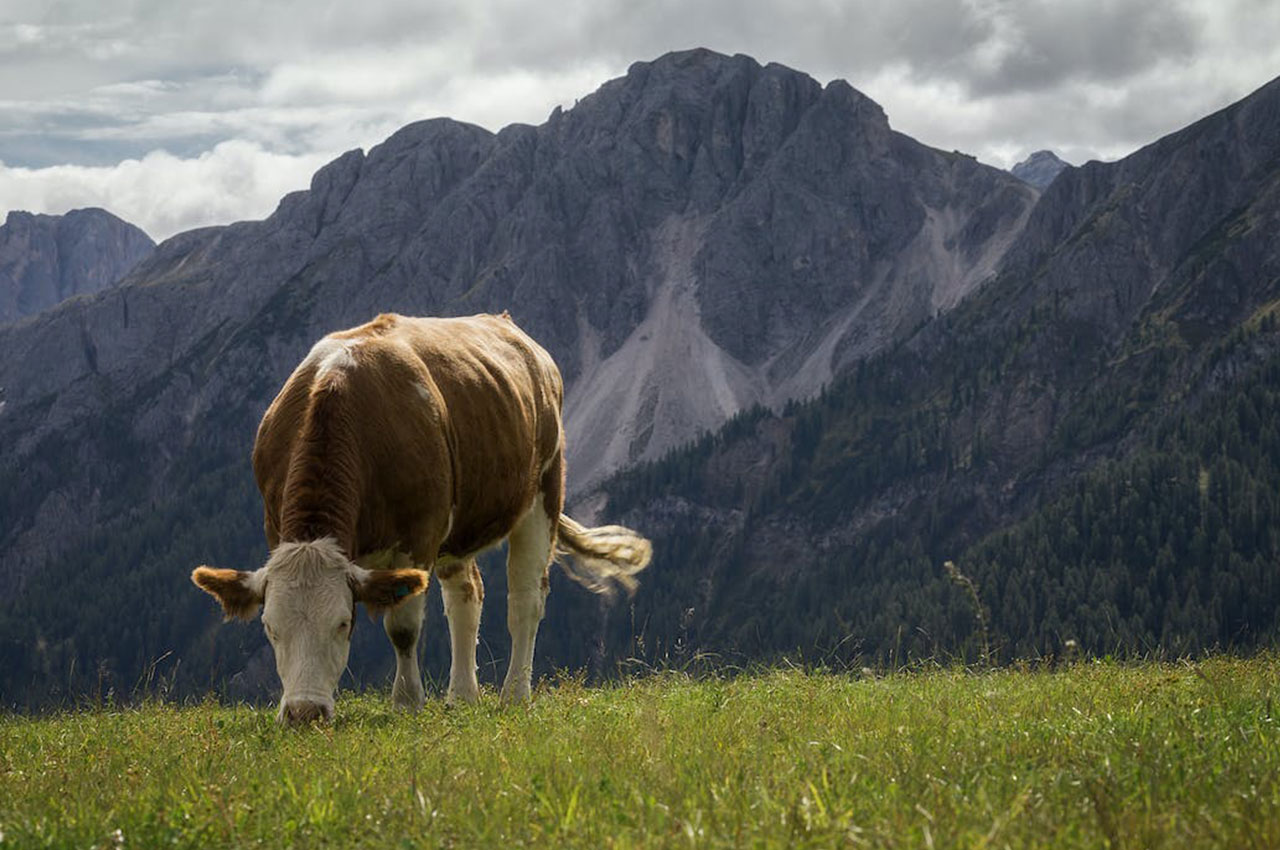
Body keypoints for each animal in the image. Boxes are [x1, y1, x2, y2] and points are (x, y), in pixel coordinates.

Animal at [189, 312, 650, 721]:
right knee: (467, 594)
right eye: (270, 627)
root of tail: (507, 325)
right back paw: (462, 695)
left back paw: (515, 694)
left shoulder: (419, 535)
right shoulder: (274, 526)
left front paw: (408, 702)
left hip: (542, 494)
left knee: (525, 600)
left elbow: (403, 628)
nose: (305, 713)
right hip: (459, 528)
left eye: (343, 623)